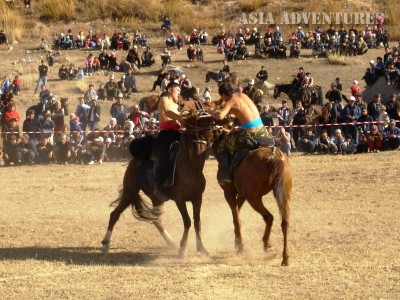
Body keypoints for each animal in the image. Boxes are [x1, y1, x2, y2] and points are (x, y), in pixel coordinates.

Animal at [101, 110, 223, 258]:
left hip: (156, 198)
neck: (189, 166)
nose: (223, 121)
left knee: (156, 220)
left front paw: (201, 248)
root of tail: (133, 162)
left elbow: (197, 222)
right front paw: (182, 249)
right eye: (205, 119)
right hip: (129, 192)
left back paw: (171, 242)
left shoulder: (197, 198)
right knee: (114, 215)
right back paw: (105, 244)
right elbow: (187, 221)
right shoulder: (179, 200)